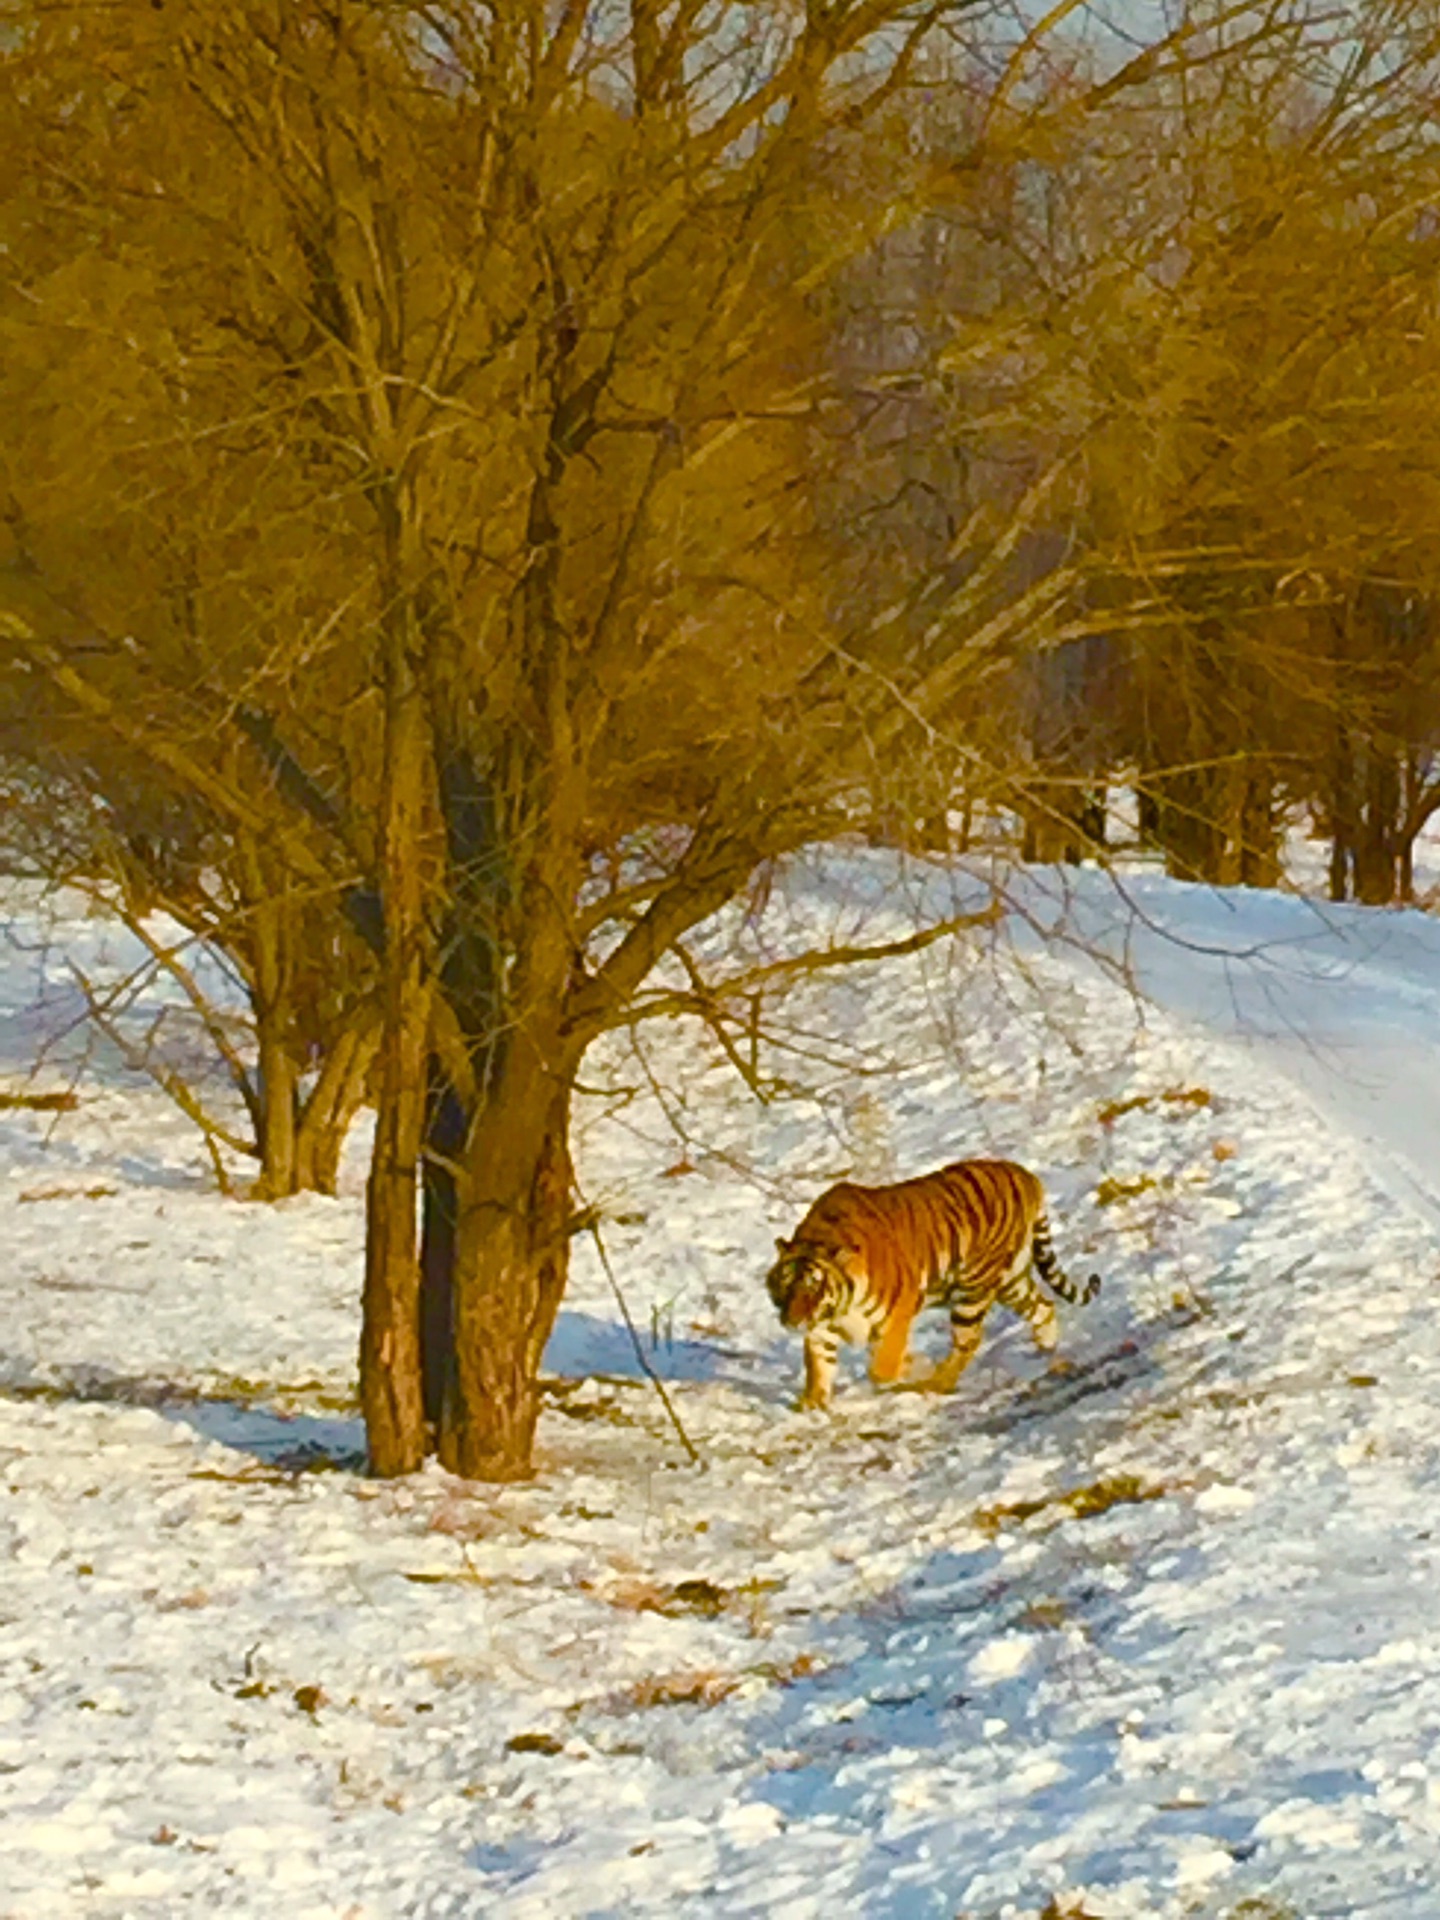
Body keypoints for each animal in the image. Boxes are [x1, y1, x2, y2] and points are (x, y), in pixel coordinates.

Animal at [771, 1152, 1098, 1413]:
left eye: (813, 1286)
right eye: (785, 1286)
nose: (792, 1322)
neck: (840, 1306)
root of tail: (1024, 1174)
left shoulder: (897, 1310)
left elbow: (883, 1367)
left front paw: (912, 1365)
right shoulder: (820, 1329)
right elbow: (818, 1367)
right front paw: (812, 1402)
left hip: (974, 1287)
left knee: (969, 1340)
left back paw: (936, 1382)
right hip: (1009, 1280)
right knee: (1042, 1305)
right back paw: (1047, 1349)